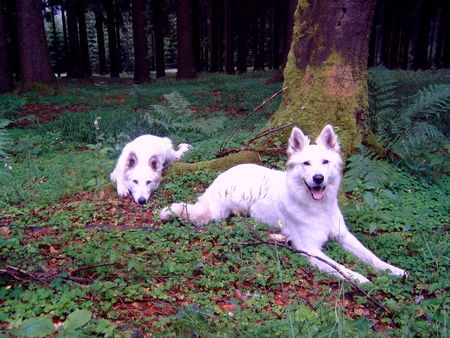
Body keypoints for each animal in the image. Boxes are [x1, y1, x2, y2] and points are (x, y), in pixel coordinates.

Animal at [160, 125, 406, 282]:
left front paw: (393, 270)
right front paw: (359, 277)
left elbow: (371, 255)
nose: (318, 178)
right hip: (219, 210)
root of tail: (225, 172)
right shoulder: (310, 250)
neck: (317, 208)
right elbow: (339, 266)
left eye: (325, 162)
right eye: (306, 164)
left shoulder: (343, 235)